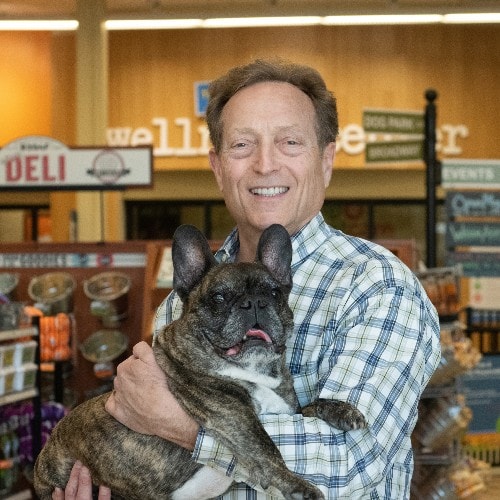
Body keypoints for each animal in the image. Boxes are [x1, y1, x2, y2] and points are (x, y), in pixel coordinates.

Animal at [34, 224, 366, 499]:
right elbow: (267, 448)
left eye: (274, 293)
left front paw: (342, 409)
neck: (254, 369)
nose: (255, 303)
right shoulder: (234, 416)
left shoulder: (286, 410)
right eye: (219, 298)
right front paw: (298, 486)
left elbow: (310, 406)